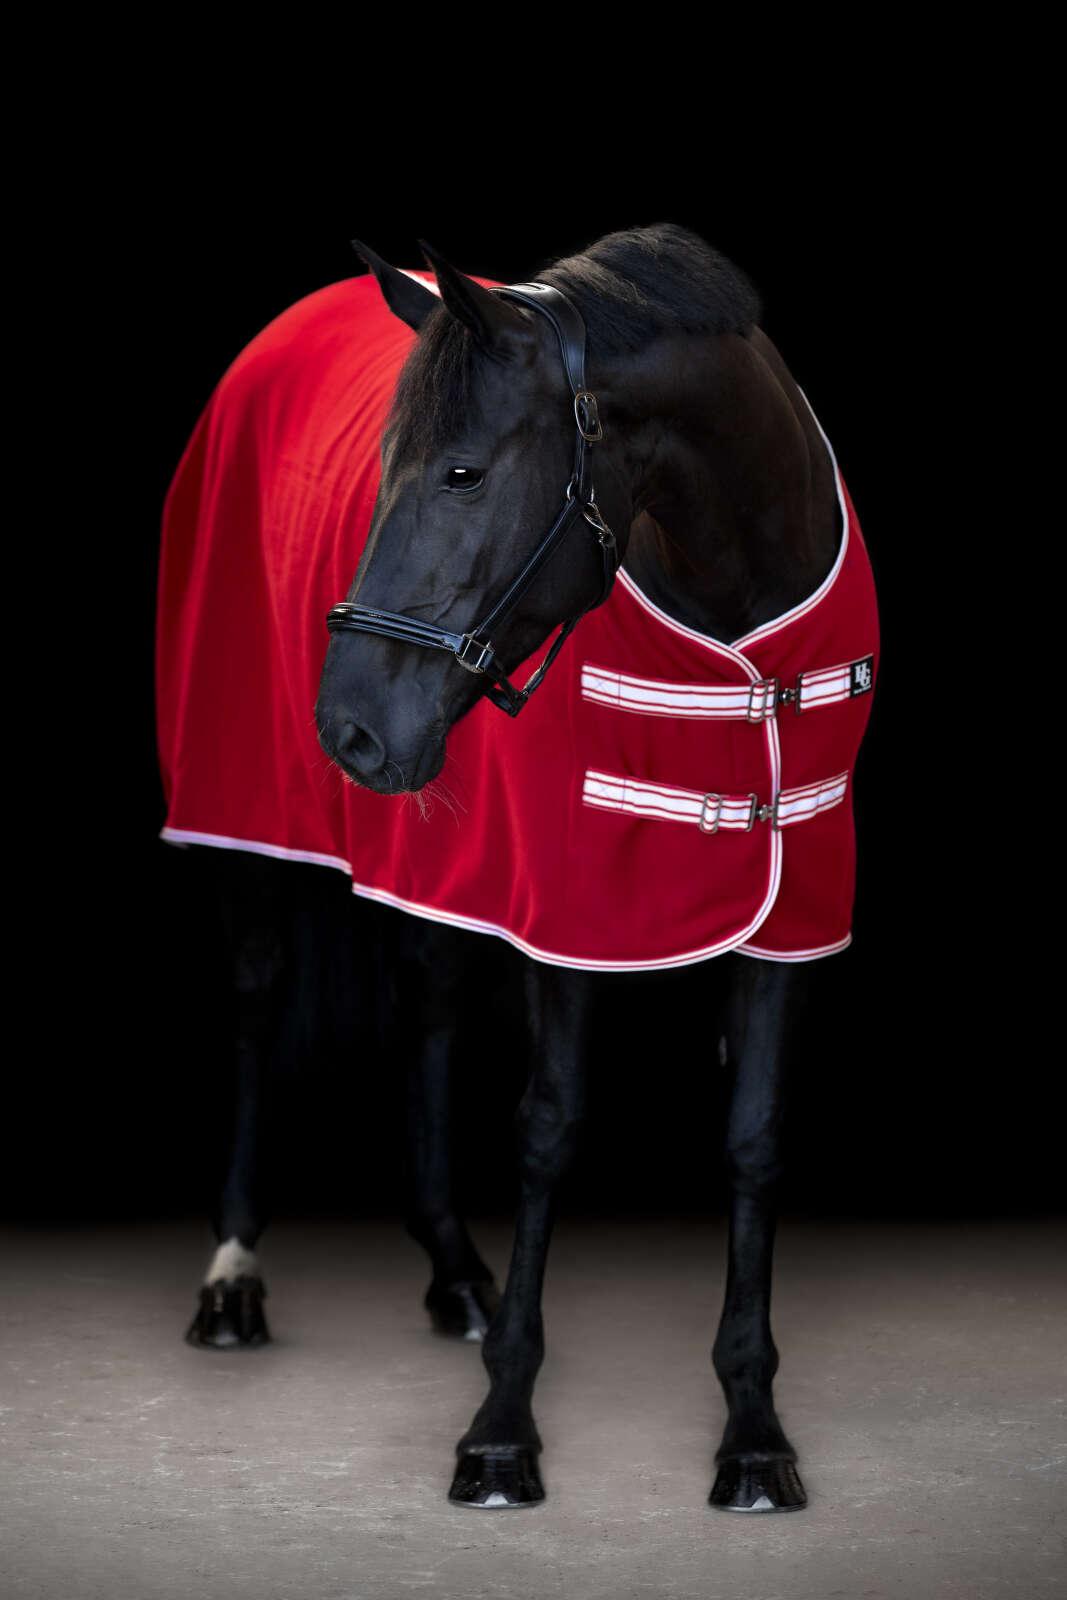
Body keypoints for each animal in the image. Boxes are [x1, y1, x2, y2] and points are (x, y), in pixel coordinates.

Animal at [156, 223, 878, 1514]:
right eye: (387, 467)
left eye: (462, 473)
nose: (347, 728)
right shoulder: (565, 905)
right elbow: (545, 1127)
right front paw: (500, 1426)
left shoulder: (792, 900)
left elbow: (752, 1137)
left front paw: (751, 1428)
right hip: (243, 812)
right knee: (253, 996)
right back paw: (232, 1279)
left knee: (428, 1003)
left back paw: (452, 1269)